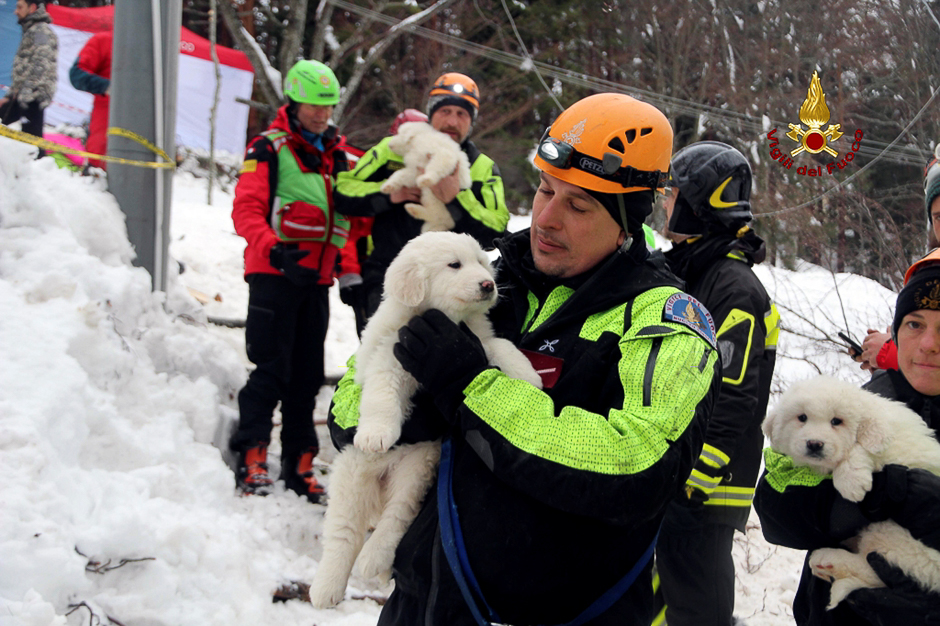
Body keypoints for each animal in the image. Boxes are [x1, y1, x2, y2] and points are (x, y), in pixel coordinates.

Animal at [310, 229, 544, 604]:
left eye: (481, 262)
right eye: (454, 265)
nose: (488, 284)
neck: (444, 318)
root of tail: (382, 480)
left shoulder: (476, 340)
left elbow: (501, 347)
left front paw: (529, 376)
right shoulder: (389, 357)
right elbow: (381, 395)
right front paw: (376, 434)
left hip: (417, 469)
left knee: (395, 519)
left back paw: (374, 560)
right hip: (352, 477)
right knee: (343, 534)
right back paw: (326, 589)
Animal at [764, 372, 940, 608]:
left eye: (836, 421)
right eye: (802, 418)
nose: (814, 444)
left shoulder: (891, 446)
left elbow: (859, 448)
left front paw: (851, 480)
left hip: (895, 534)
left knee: (879, 569)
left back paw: (828, 559)